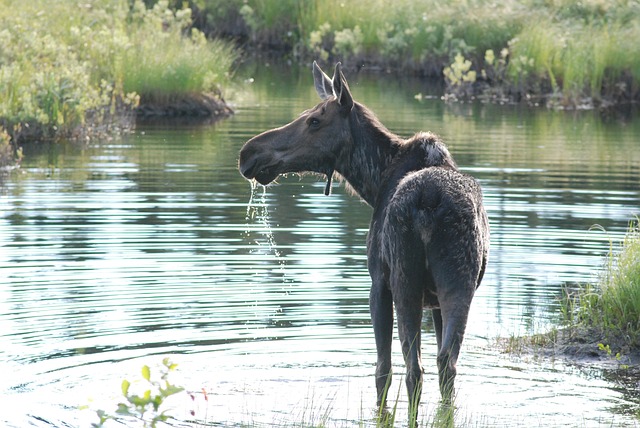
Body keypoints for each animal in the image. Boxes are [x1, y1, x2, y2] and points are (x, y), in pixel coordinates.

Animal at [239, 61, 490, 420]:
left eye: (314, 120)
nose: (249, 152)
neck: (373, 180)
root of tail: (430, 200)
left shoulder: (378, 284)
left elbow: (382, 370)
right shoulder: (436, 300)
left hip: (404, 282)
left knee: (413, 369)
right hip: (458, 282)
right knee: (446, 363)